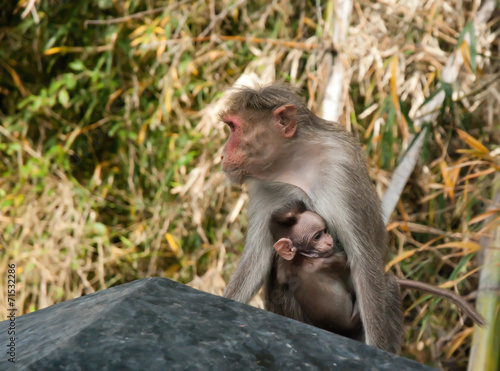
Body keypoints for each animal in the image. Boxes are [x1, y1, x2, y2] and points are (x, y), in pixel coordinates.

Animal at [221, 83, 404, 354]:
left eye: (233, 127)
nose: (221, 154)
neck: (295, 166)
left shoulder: (341, 170)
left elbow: (363, 259)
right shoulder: (265, 187)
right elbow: (257, 258)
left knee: (387, 284)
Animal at [270, 202, 484, 342]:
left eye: (325, 231)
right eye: (317, 236)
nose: (330, 240)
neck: (303, 257)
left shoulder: (285, 266)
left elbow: (280, 275)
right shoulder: (328, 260)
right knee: (386, 283)